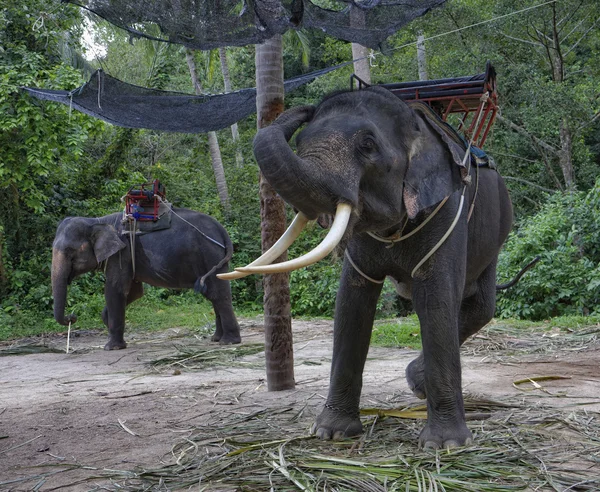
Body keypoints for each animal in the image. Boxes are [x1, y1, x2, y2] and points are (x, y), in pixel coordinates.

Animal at [52, 208, 241, 350]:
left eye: (70, 252)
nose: (72, 317)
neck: (97, 221)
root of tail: (222, 230)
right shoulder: (128, 258)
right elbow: (135, 292)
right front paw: (108, 321)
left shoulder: (121, 254)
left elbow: (115, 289)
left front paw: (111, 347)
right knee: (213, 294)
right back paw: (216, 339)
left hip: (210, 254)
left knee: (218, 294)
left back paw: (229, 342)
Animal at [223, 85, 512, 450]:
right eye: (300, 141)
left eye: (368, 145)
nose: (304, 108)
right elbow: (352, 302)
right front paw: (330, 433)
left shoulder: (447, 209)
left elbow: (435, 299)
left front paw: (444, 445)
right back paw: (417, 383)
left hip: (497, 230)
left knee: (481, 305)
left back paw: (419, 383)